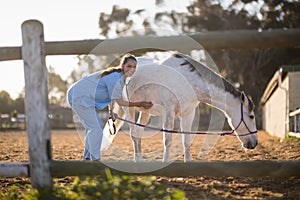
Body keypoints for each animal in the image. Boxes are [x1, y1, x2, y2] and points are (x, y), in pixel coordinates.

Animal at [101, 53, 258, 162]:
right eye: (251, 116)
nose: (254, 143)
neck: (187, 80)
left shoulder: (189, 113)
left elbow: (186, 140)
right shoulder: (169, 112)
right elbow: (168, 140)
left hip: (145, 112)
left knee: (138, 133)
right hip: (130, 109)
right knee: (134, 134)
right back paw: (137, 160)